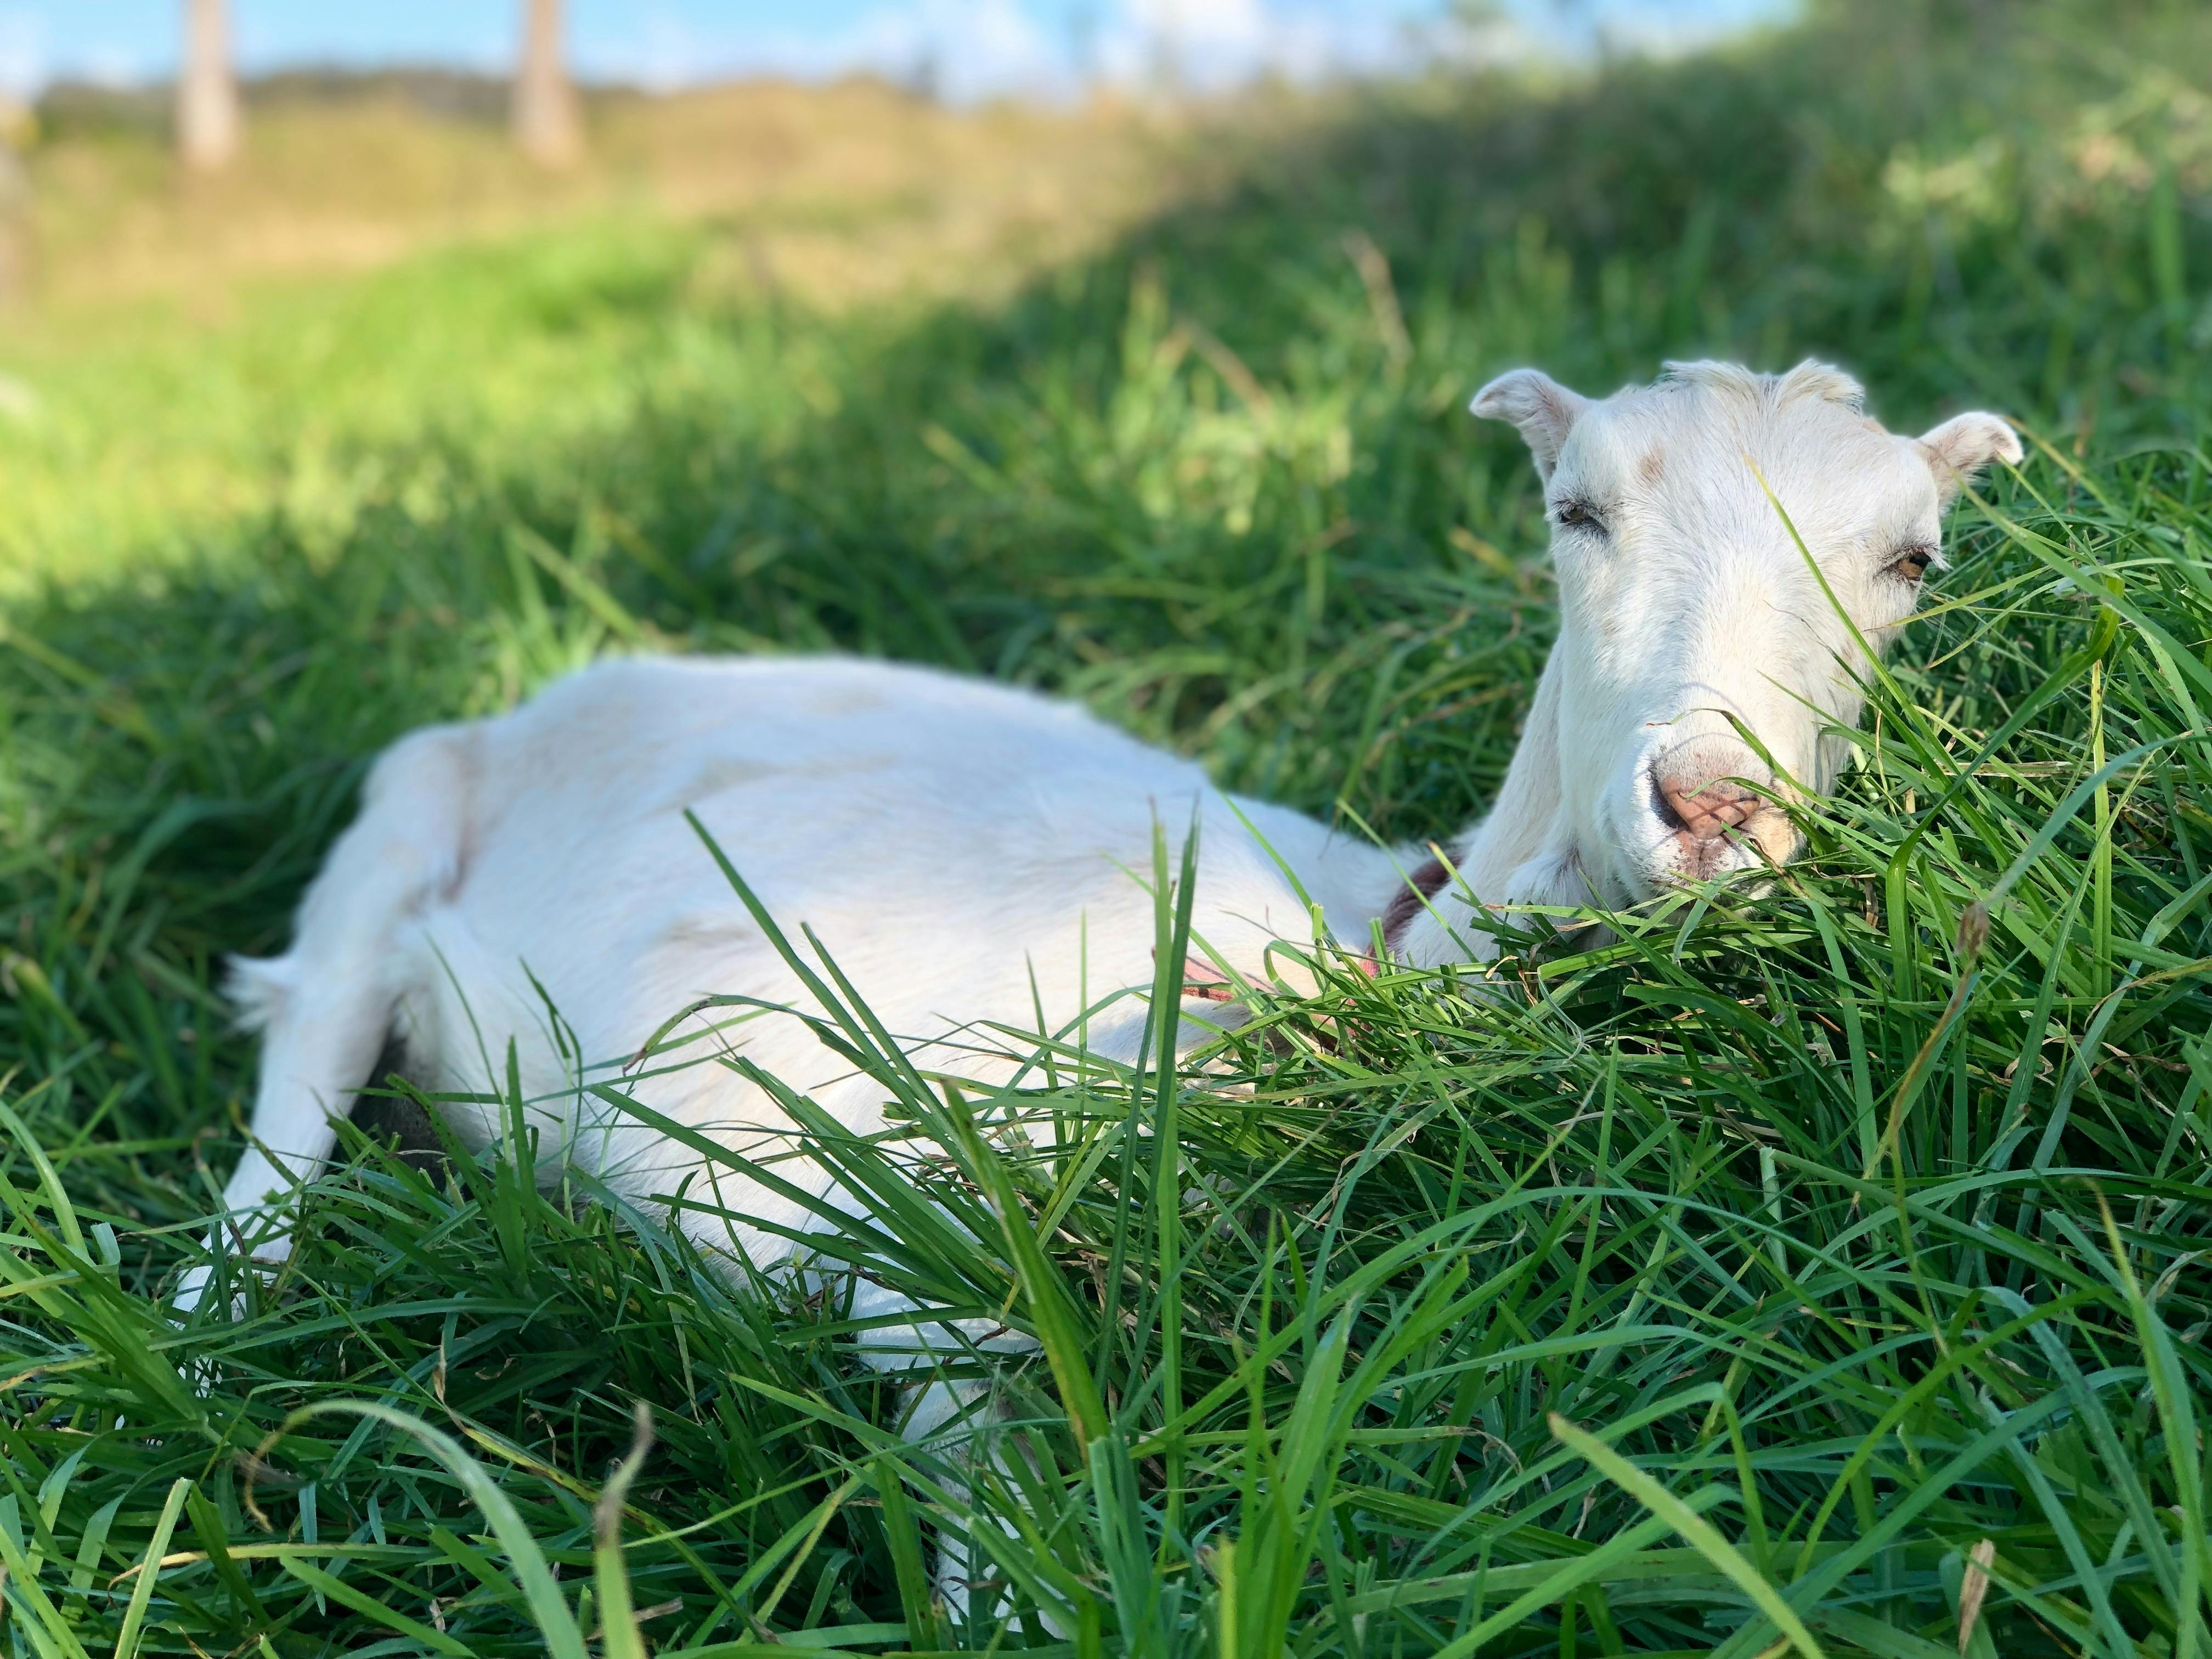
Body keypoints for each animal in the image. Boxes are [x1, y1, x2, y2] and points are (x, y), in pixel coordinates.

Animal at [181, 359, 2017, 1603]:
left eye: (1914, 560)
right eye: (1576, 512)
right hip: (389, 841)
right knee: (285, 1113)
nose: (1710, 808)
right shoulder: (912, 1221)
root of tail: (564, 688)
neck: (1343, 963)